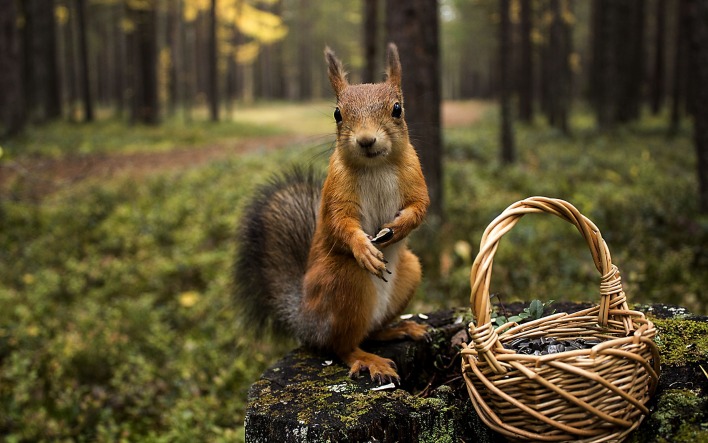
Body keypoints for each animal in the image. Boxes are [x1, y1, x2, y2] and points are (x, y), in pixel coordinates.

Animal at [235, 44, 428, 386]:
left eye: (397, 109)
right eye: (338, 113)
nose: (366, 140)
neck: (376, 166)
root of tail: (306, 321)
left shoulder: (415, 176)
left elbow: (420, 206)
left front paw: (400, 226)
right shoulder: (336, 191)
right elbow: (340, 223)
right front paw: (364, 248)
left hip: (409, 272)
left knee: (371, 331)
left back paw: (400, 328)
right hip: (344, 282)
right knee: (342, 345)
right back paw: (368, 359)